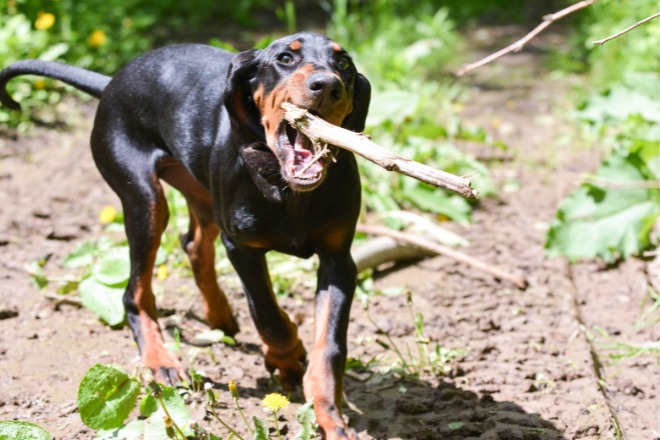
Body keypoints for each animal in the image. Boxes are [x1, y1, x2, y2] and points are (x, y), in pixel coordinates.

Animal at [0, 32, 368, 438]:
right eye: (286, 58)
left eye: (344, 65)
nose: (328, 85)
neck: (287, 190)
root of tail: (111, 82)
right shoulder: (241, 247)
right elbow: (267, 316)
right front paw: (286, 360)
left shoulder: (338, 261)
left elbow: (329, 346)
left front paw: (330, 416)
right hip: (145, 199)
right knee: (134, 292)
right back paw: (161, 360)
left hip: (200, 190)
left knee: (193, 244)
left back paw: (218, 314)